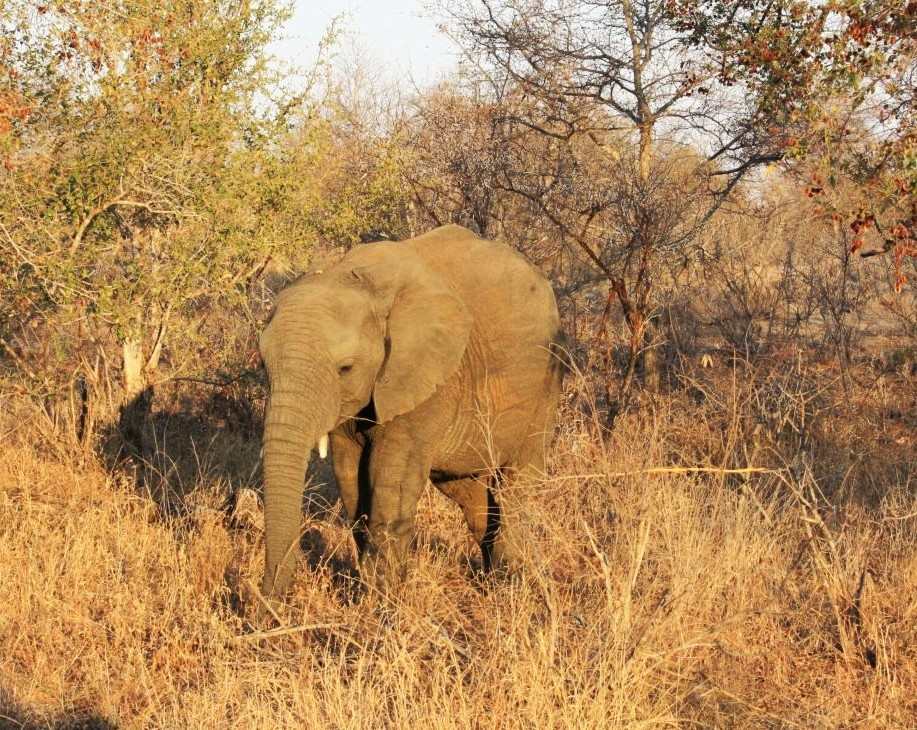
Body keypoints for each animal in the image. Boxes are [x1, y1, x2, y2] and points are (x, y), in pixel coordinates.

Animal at [258, 224, 568, 601]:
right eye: (263, 364)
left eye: (345, 368)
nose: (267, 602)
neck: (357, 280)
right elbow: (350, 479)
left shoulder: (427, 377)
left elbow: (390, 485)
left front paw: (379, 604)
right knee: (471, 494)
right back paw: (490, 579)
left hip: (546, 385)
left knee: (516, 485)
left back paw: (507, 585)